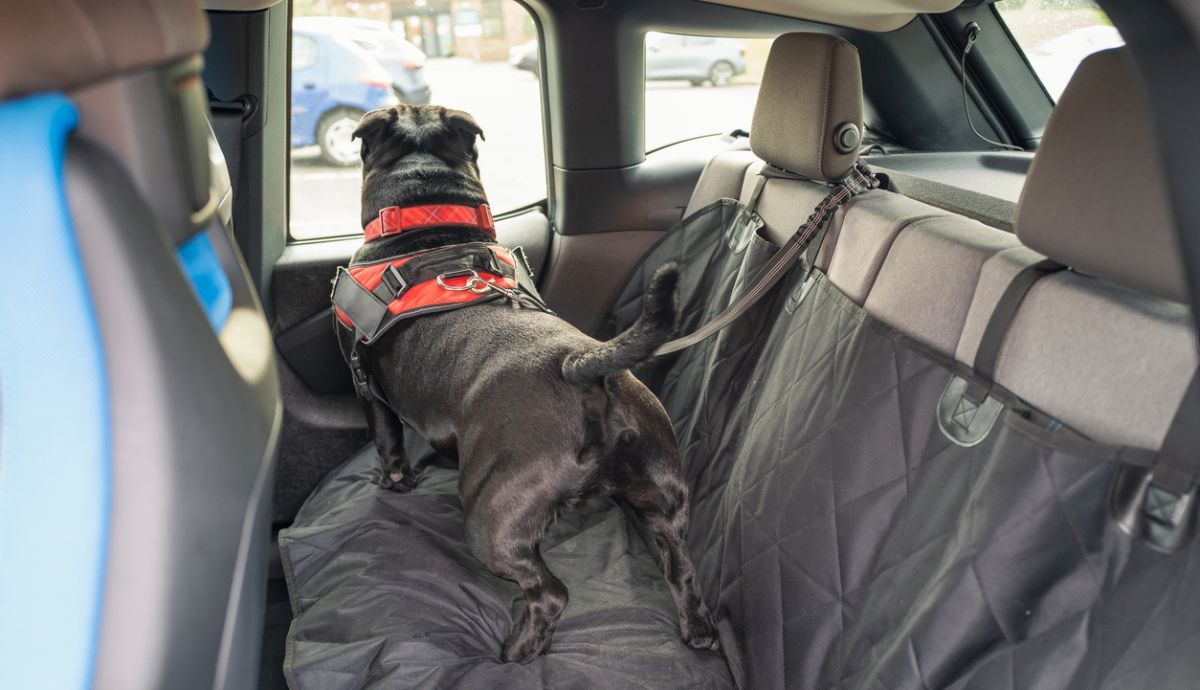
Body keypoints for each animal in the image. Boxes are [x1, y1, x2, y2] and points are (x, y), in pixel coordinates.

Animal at [333, 103, 715, 662]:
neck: (430, 217)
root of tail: (581, 365)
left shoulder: (366, 386)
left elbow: (388, 441)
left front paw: (394, 482)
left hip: (492, 518)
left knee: (551, 592)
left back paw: (519, 648)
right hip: (664, 498)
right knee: (682, 568)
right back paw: (698, 630)